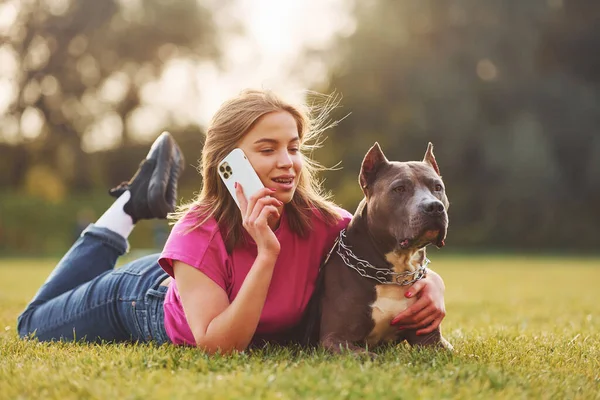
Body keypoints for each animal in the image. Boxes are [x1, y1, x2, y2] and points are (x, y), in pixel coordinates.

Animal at [316, 142, 452, 354]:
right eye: (399, 188)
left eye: (437, 187)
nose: (435, 207)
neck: (396, 272)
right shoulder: (334, 338)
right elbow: (367, 356)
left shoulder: (431, 339)